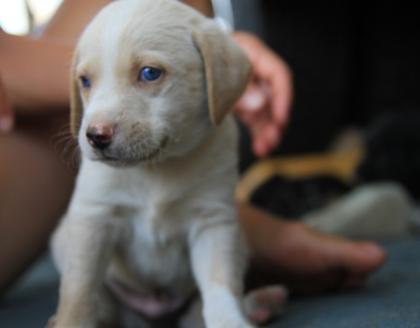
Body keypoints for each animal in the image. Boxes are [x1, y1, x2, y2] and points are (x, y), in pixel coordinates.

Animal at [50, 0, 284, 326]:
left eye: (150, 73)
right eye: (85, 81)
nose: (96, 136)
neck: (156, 167)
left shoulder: (213, 223)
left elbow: (220, 285)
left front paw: (229, 320)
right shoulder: (93, 219)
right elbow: (79, 290)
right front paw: (70, 320)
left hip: (239, 245)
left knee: (198, 312)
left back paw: (261, 304)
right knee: (104, 307)